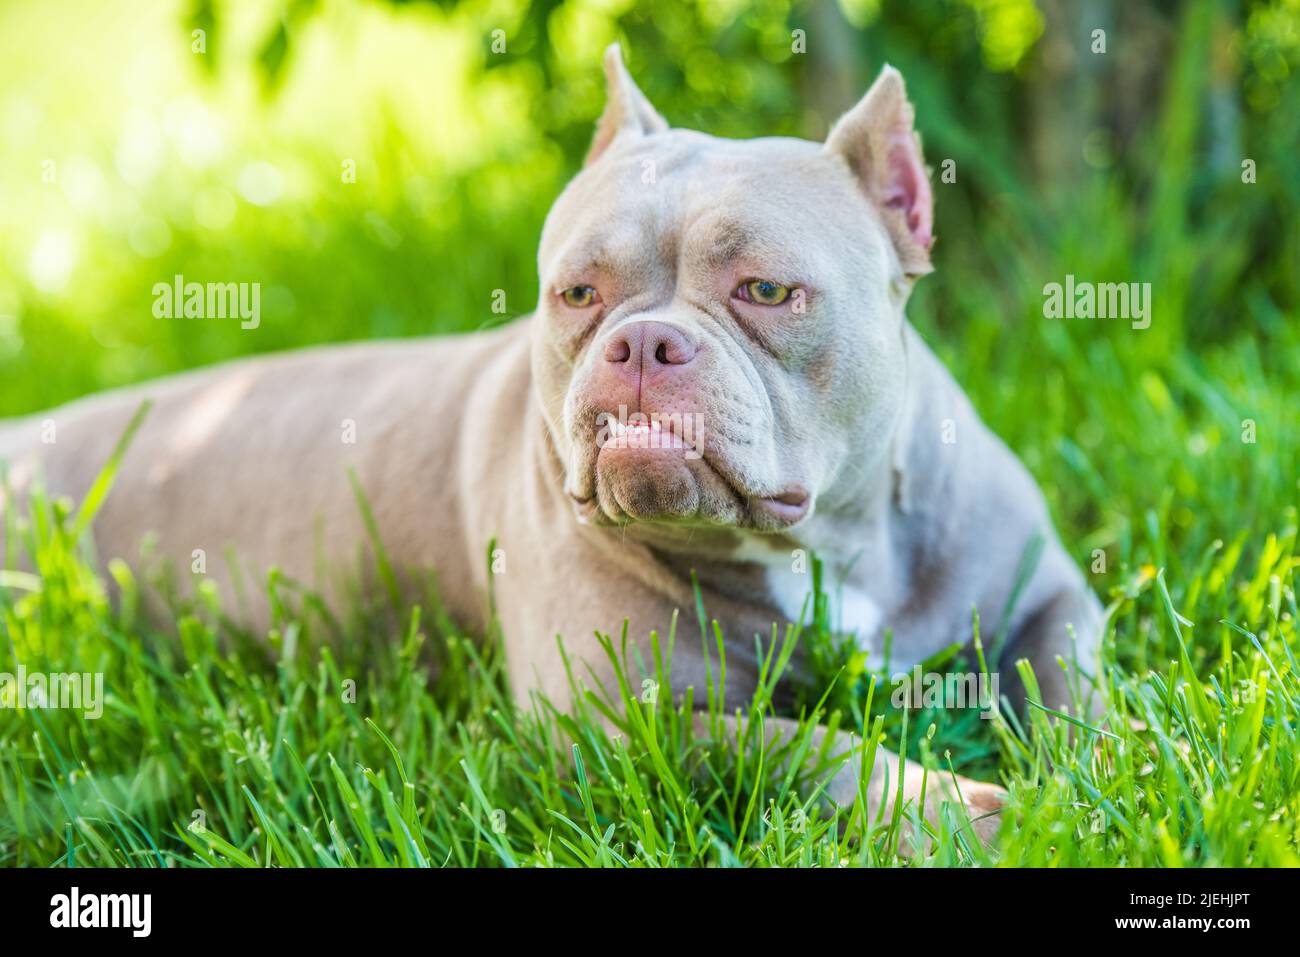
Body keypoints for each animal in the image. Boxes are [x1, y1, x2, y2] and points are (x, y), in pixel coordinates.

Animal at [0, 44, 1102, 842]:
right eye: (577, 293)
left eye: (766, 290)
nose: (643, 343)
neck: (825, 545)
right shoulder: (613, 724)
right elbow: (799, 747)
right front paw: (950, 809)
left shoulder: (1048, 591)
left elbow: (1070, 687)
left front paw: (1090, 774)